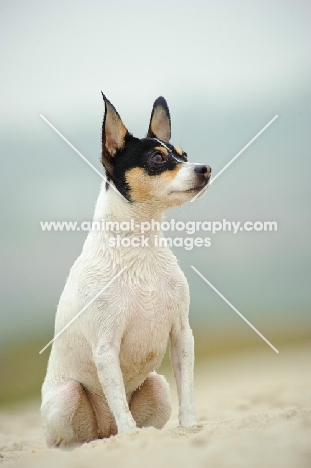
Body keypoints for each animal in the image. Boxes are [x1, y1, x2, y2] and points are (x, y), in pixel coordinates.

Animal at [40, 94, 212, 446]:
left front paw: (190, 426)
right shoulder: (106, 348)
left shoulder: (181, 335)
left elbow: (187, 392)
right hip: (67, 396)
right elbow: (118, 398)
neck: (141, 247)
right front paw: (131, 435)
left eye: (184, 156)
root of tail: (105, 431)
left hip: (158, 386)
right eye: (158, 158)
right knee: (72, 440)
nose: (205, 168)